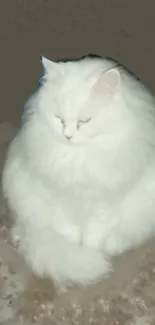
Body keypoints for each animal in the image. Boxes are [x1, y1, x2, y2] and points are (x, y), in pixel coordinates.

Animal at [2, 55, 155, 286]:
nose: (67, 136)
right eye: (59, 119)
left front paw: (94, 253)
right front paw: (79, 253)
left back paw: (114, 246)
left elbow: (94, 237)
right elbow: (70, 234)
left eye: (84, 121)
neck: (79, 158)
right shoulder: (59, 200)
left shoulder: (105, 207)